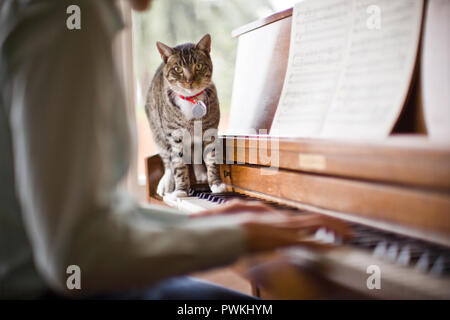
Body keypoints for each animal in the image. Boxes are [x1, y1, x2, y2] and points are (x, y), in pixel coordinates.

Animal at [146, 33, 227, 198]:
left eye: (199, 66)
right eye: (177, 69)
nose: (189, 81)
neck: (191, 100)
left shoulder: (209, 131)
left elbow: (211, 158)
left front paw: (216, 183)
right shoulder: (174, 136)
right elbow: (178, 164)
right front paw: (181, 189)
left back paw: (200, 173)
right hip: (157, 131)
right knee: (167, 159)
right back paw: (167, 182)